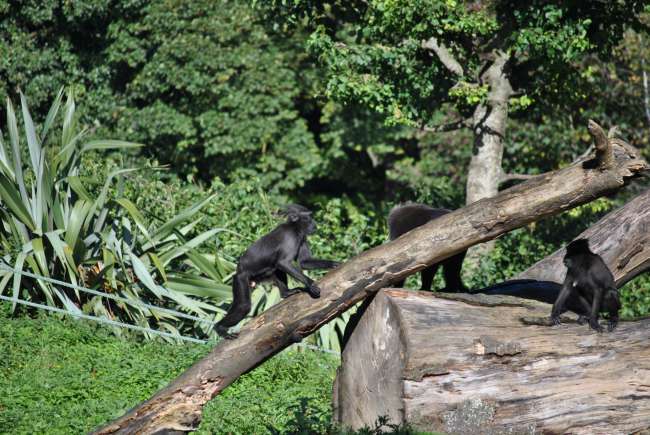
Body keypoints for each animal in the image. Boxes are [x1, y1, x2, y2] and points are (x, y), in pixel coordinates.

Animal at [216, 205, 342, 340]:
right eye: (309, 217)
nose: (315, 224)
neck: (294, 227)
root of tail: (239, 269)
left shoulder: (302, 237)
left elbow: (304, 262)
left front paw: (334, 264)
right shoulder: (291, 237)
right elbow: (284, 263)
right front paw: (311, 284)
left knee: (276, 268)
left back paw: (286, 293)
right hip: (240, 279)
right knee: (243, 306)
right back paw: (219, 328)